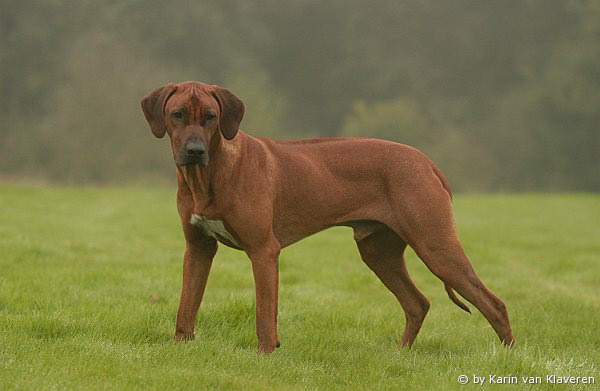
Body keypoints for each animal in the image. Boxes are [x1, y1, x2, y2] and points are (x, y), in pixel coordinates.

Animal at [142, 81, 516, 354]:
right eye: (177, 114)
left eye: (210, 116)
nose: (194, 151)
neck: (208, 176)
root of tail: (427, 162)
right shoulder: (198, 249)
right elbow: (186, 306)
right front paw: (179, 349)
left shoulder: (264, 250)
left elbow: (264, 314)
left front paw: (266, 354)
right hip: (379, 252)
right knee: (418, 303)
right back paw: (401, 354)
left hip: (436, 245)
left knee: (494, 304)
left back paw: (508, 357)